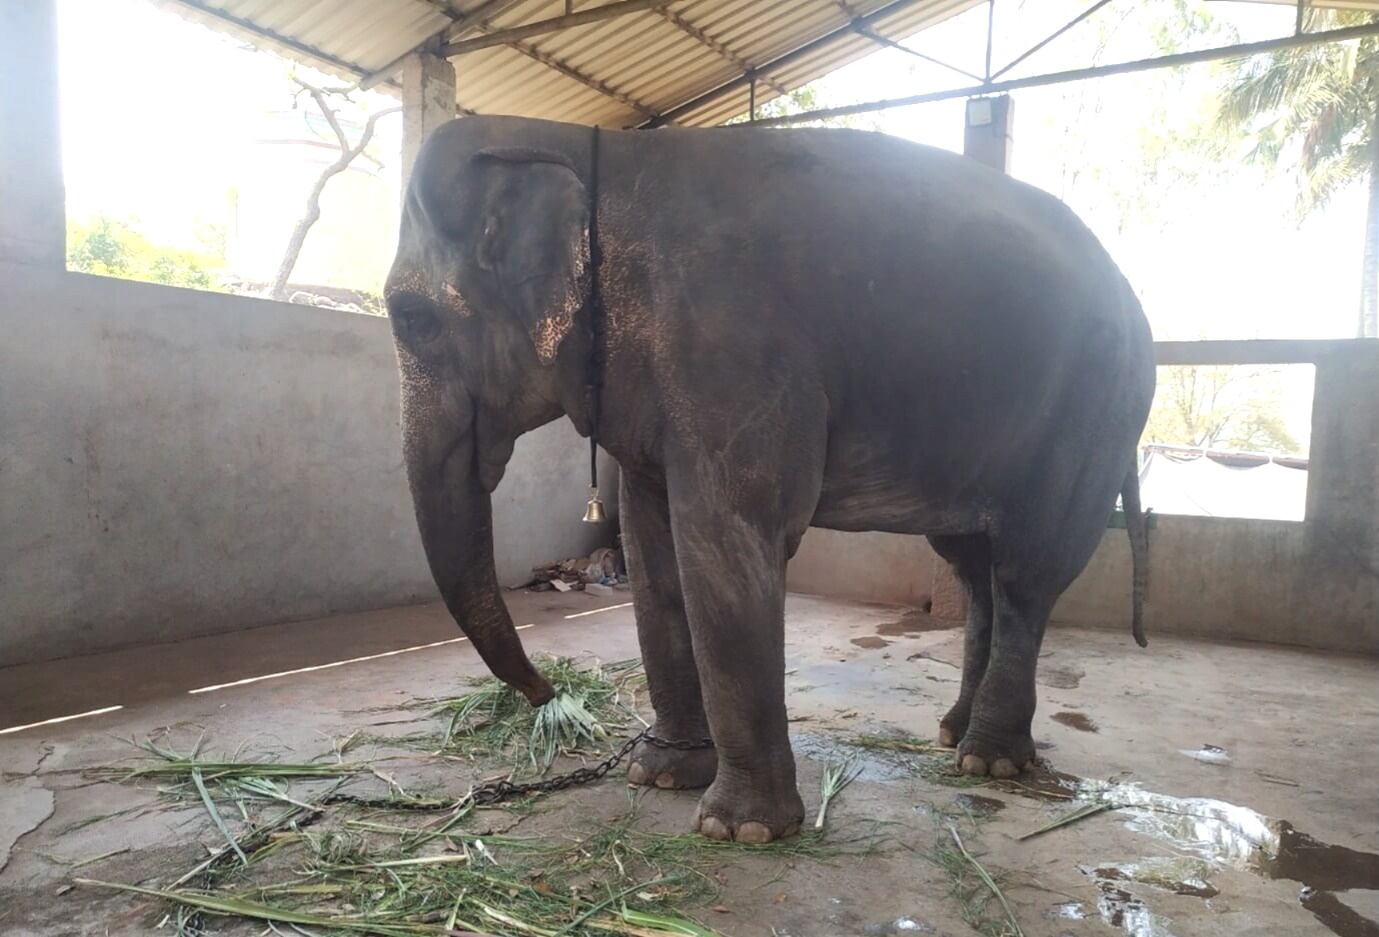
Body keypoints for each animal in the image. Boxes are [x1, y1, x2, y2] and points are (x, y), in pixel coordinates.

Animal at [384, 115, 1155, 844]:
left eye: (411, 318)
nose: (547, 693)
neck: (592, 152)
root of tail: (1129, 290)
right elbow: (652, 552)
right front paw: (660, 775)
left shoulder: (734, 351)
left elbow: (727, 542)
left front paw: (741, 829)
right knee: (973, 568)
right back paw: (953, 734)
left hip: (1095, 409)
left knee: (1028, 571)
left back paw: (987, 761)